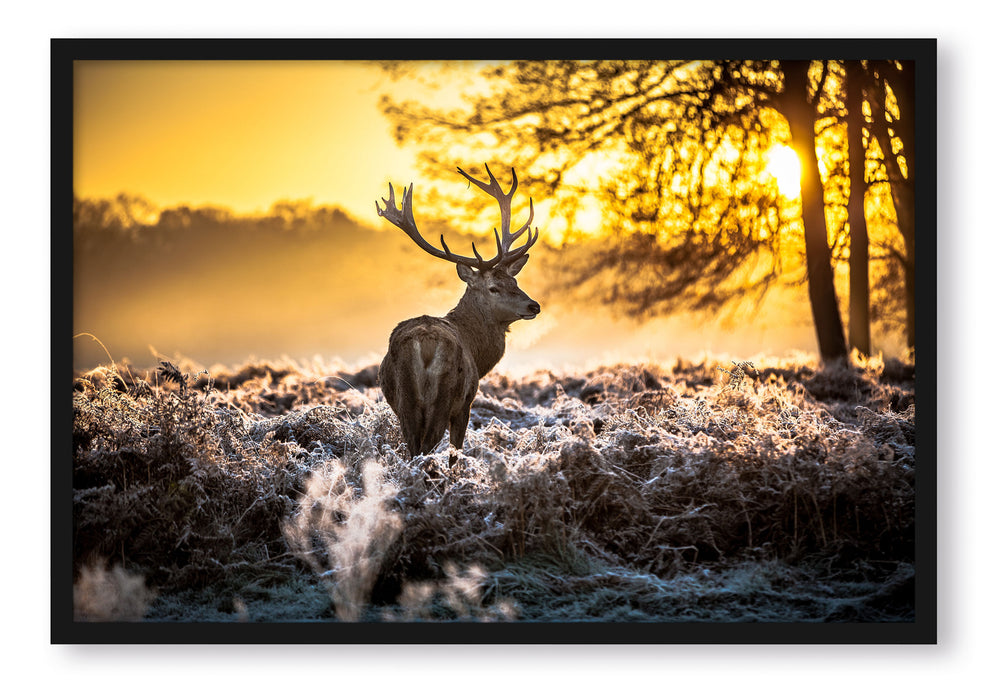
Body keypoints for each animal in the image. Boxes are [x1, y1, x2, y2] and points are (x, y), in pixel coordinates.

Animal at [376, 164, 544, 464]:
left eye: (514, 281)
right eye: (493, 288)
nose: (533, 306)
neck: (477, 351)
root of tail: (425, 345)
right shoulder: (466, 402)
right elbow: (457, 449)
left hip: (405, 399)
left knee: (413, 449)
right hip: (445, 397)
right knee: (427, 447)